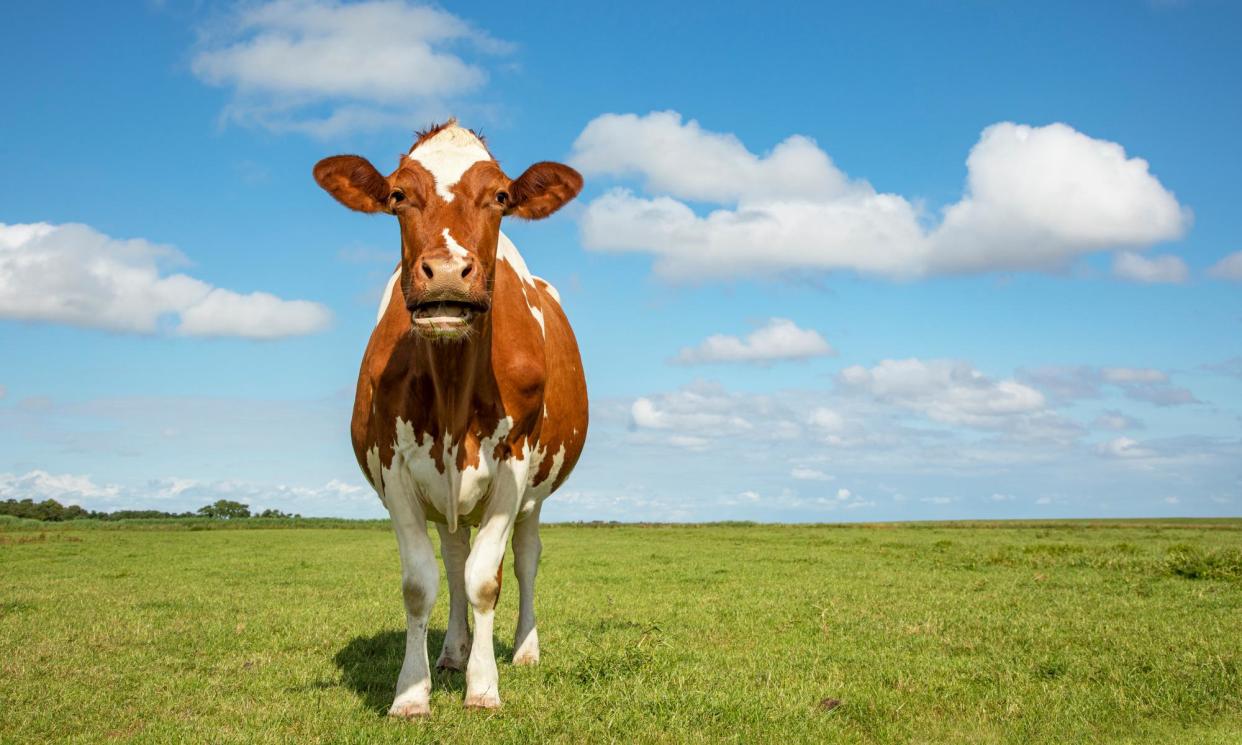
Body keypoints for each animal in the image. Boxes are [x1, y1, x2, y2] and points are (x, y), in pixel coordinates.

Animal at [312, 122, 588, 715]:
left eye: (501, 196)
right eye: (397, 195)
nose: (445, 274)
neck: (454, 394)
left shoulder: (513, 467)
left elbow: (486, 580)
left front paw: (483, 687)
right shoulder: (395, 468)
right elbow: (423, 583)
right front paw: (412, 692)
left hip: (535, 493)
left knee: (524, 559)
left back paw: (523, 650)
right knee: (455, 558)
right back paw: (453, 653)